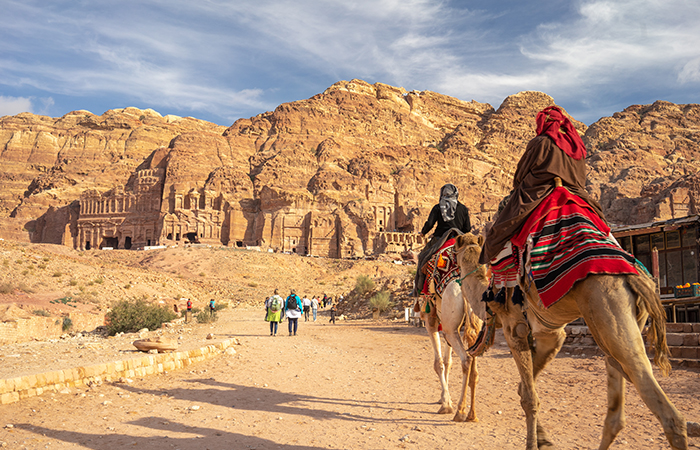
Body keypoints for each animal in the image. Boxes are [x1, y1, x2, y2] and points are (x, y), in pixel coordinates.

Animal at [418, 234, 490, 424]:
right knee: (474, 368)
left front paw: (446, 403)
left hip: (448, 325)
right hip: (473, 329)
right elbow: (448, 362)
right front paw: (444, 398)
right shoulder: (448, 327)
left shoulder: (431, 320)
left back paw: (459, 411)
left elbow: (439, 363)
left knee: (466, 360)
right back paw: (472, 414)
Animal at [454, 236, 688, 450]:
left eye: (455, 256)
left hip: (606, 308)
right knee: (616, 403)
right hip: (624, 324)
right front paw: (544, 439)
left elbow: (529, 397)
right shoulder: (551, 335)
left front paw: (534, 443)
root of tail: (635, 278)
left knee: (667, 412)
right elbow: (524, 388)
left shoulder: (515, 329)